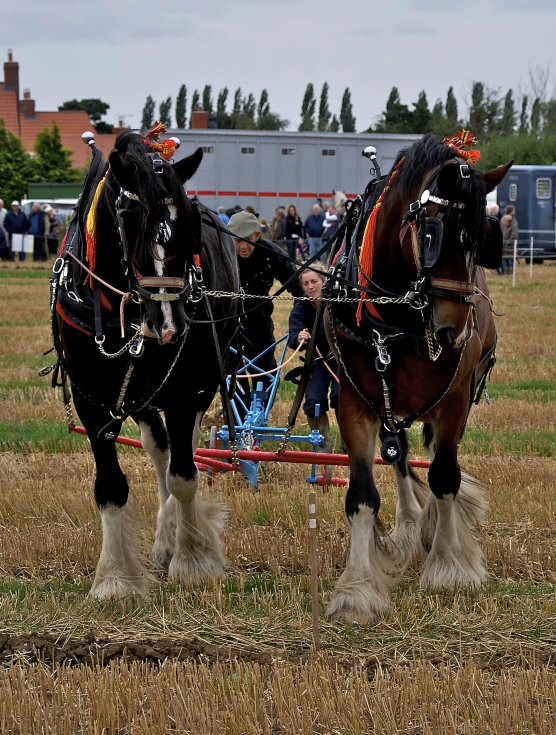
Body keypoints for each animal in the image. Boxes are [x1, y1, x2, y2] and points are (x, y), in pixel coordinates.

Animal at [53, 129, 240, 600]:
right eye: (130, 217)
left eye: (188, 226)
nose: (169, 323)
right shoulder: (92, 398)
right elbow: (111, 487)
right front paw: (116, 580)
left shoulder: (185, 388)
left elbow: (184, 476)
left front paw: (194, 560)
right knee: (159, 446)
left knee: (181, 448)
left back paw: (176, 536)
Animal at [326, 134, 512, 628]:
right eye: (432, 235)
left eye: (482, 241)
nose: (454, 333)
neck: (399, 318)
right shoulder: (355, 401)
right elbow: (362, 495)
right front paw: (357, 589)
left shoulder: (455, 399)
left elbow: (446, 476)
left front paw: (450, 565)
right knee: (400, 453)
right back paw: (410, 525)